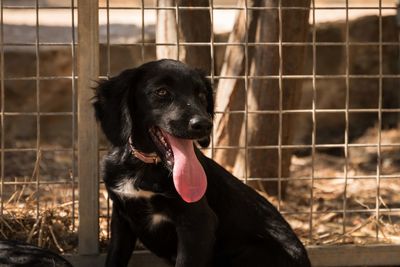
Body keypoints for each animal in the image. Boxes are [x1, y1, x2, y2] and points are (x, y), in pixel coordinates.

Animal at [94, 59, 312, 267]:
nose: (204, 125)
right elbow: (114, 259)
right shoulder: (122, 218)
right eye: (162, 91)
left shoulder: (198, 223)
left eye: (201, 95)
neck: (144, 168)